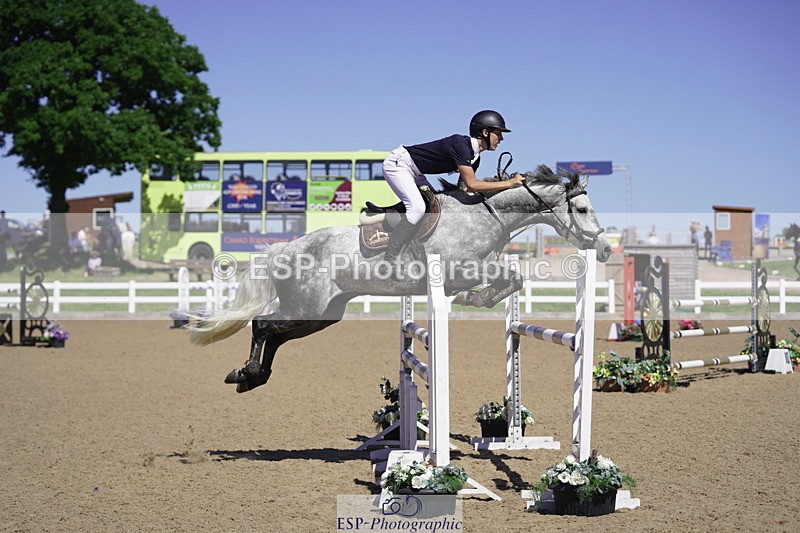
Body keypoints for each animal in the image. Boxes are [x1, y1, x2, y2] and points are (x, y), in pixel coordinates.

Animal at [188, 165, 613, 393]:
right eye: (581, 208)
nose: (606, 249)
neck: (485, 214)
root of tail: (285, 248)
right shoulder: (457, 269)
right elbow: (508, 276)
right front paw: (474, 299)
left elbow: (512, 279)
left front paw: (479, 299)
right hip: (306, 305)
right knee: (263, 325)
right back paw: (246, 372)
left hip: (322, 314)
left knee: (275, 334)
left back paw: (252, 377)